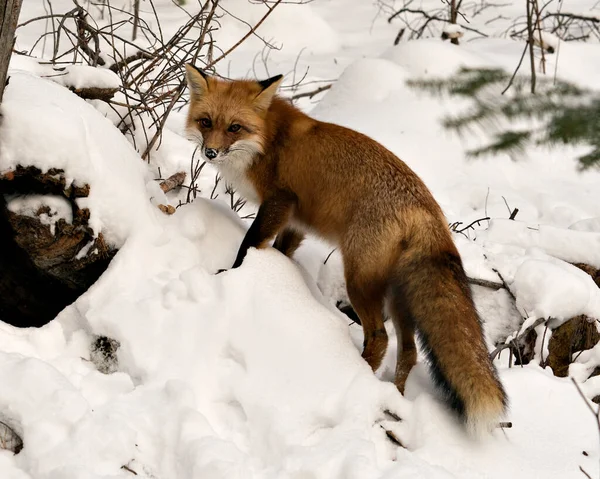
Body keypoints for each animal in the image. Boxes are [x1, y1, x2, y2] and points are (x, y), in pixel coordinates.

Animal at [184, 64, 506, 438]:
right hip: (398, 295)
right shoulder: (296, 220)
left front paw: (233, 275)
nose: (210, 152)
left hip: (359, 281)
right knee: (409, 352)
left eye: (234, 127)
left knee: (379, 338)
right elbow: (283, 250)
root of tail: (427, 210)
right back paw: (394, 397)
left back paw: (356, 379)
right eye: (206, 122)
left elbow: (250, 244)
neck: (268, 140)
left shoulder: (280, 200)